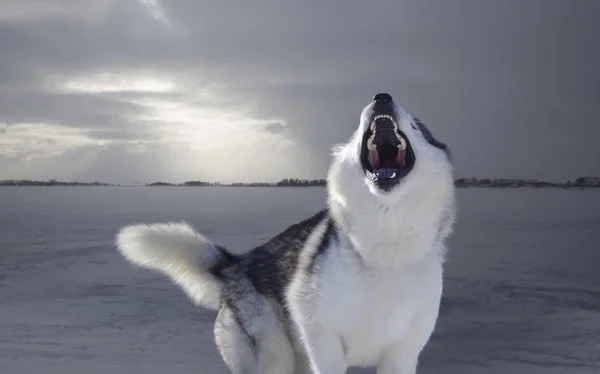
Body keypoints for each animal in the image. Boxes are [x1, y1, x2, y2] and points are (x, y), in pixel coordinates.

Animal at [116, 93, 454, 374]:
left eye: (417, 125)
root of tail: (237, 264)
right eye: (356, 130)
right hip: (275, 355)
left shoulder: (402, 354)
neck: (385, 243)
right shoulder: (324, 341)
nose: (382, 97)